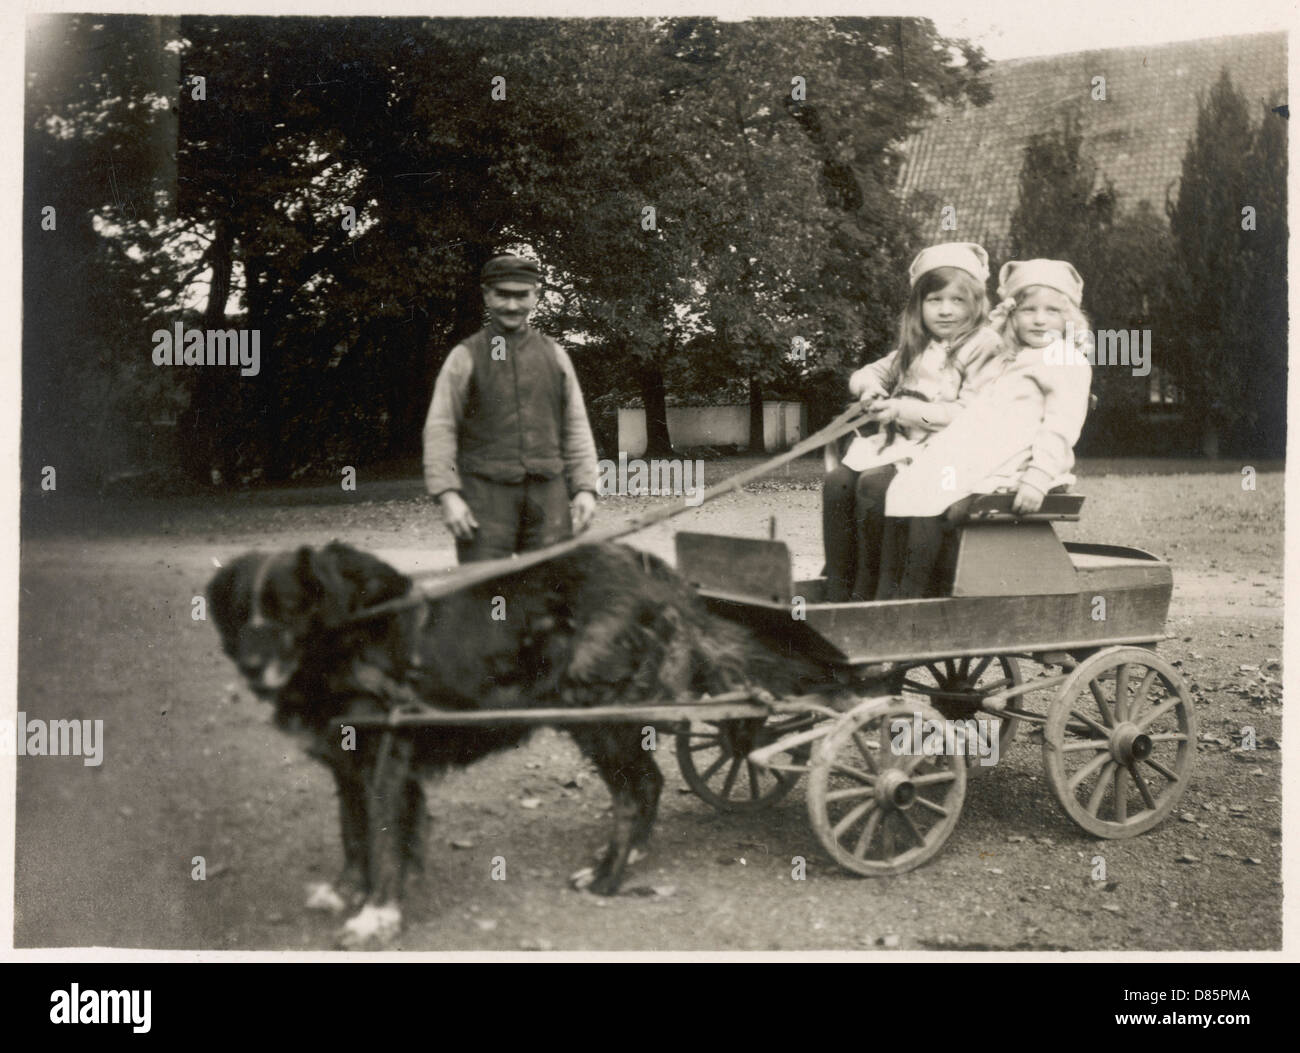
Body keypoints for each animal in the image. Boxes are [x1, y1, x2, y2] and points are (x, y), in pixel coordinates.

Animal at [208, 540, 816, 941]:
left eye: (289, 606)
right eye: (241, 609)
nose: (251, 665)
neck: (348, 640)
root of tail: (647, 569)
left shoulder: (386, 762)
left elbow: (384, 842)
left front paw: (377, 917)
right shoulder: (347, 766)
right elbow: (353, 835)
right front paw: (344, 891)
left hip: (594, 713)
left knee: (635, 788)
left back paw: (607, 876)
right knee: (651, 782)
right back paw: (632, 854)